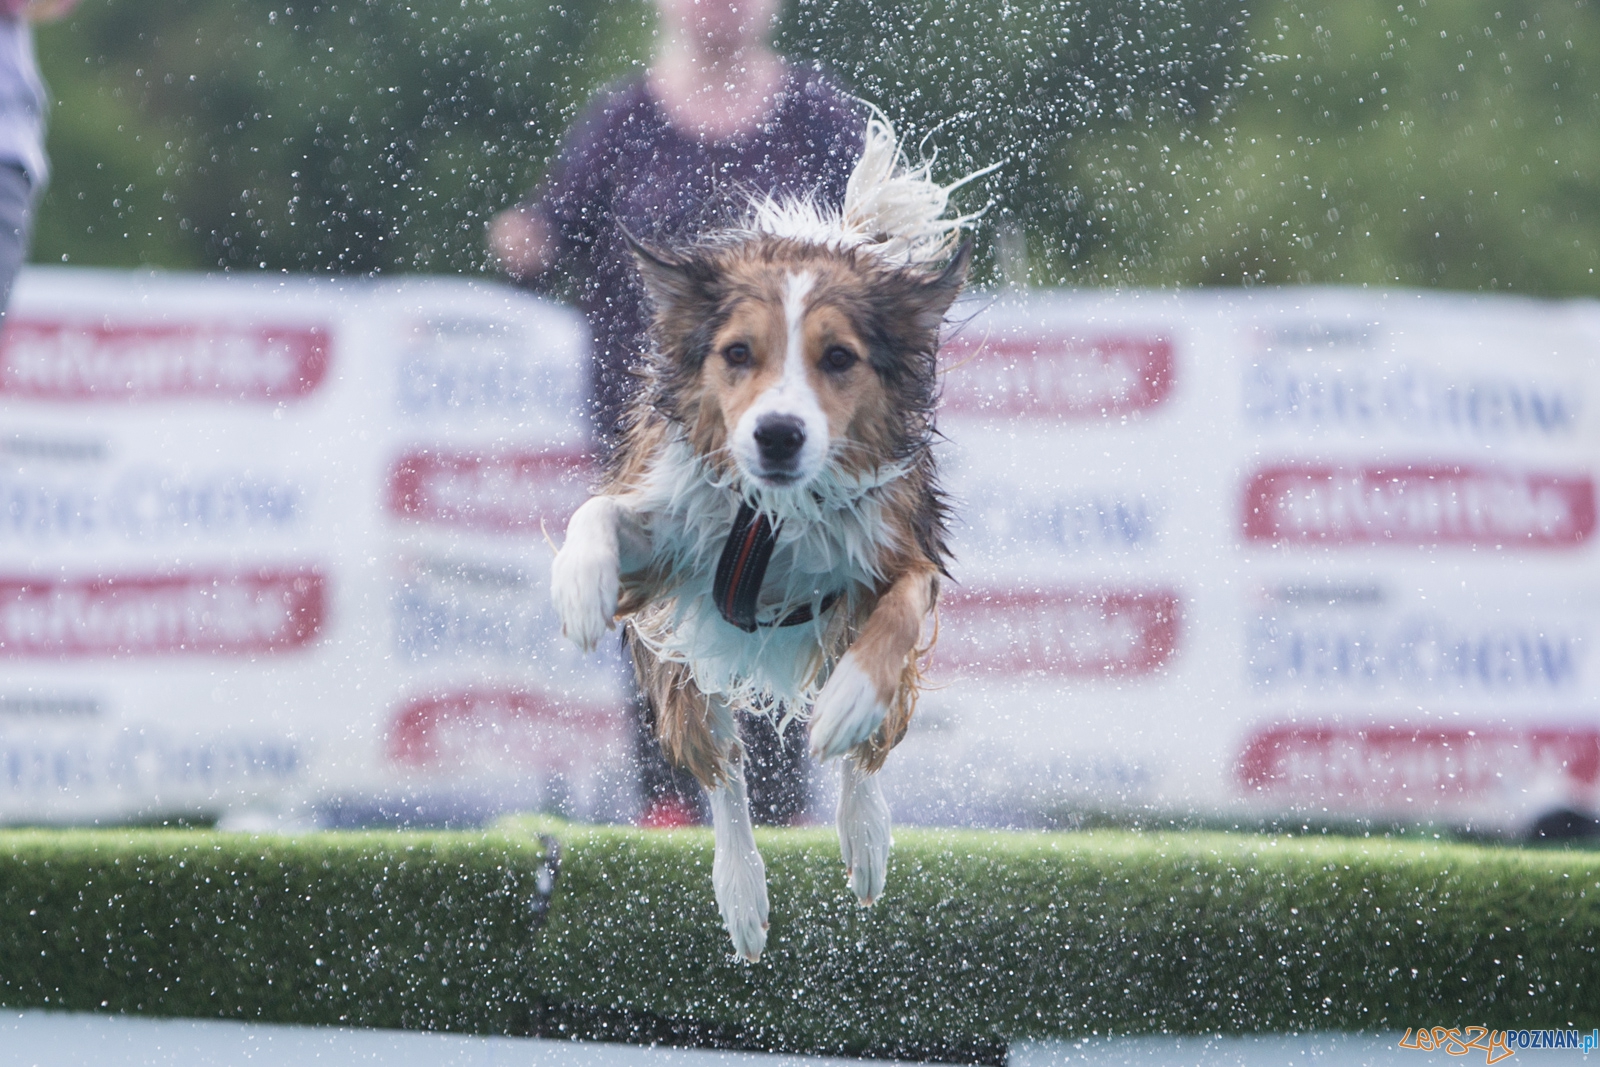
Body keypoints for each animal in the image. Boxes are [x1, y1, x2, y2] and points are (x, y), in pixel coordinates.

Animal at [547, 115, 985, 959]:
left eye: (839, 357)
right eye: (737, 353)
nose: (778, 433)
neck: (772, 517)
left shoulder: (901, 540)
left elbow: (898, 612)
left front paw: (851, 697)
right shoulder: (674, 527)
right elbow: (598, 514)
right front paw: (580, 585)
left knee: (864, 754)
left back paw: (863, 832)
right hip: (681, 657)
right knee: (721, 768)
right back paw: (743, 889)